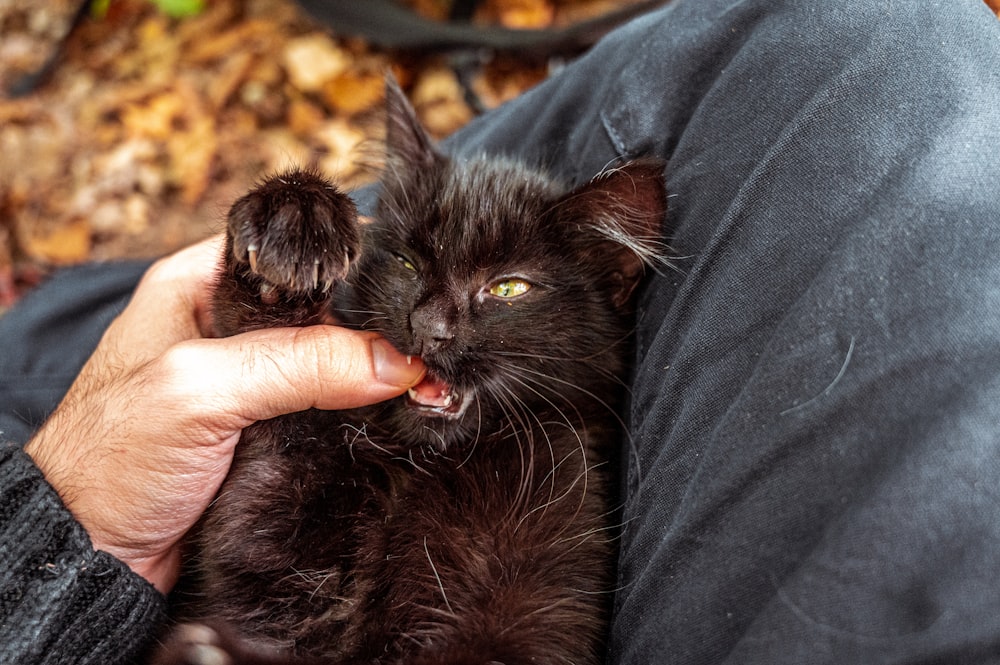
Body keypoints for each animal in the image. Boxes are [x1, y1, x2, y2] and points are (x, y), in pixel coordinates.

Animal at [156, 81, 668, 664]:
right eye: (406, 263)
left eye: (508, 288)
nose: (428, 327)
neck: (422, 463)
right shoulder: (268, 521)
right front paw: (294, 216)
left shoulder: (544, 597)